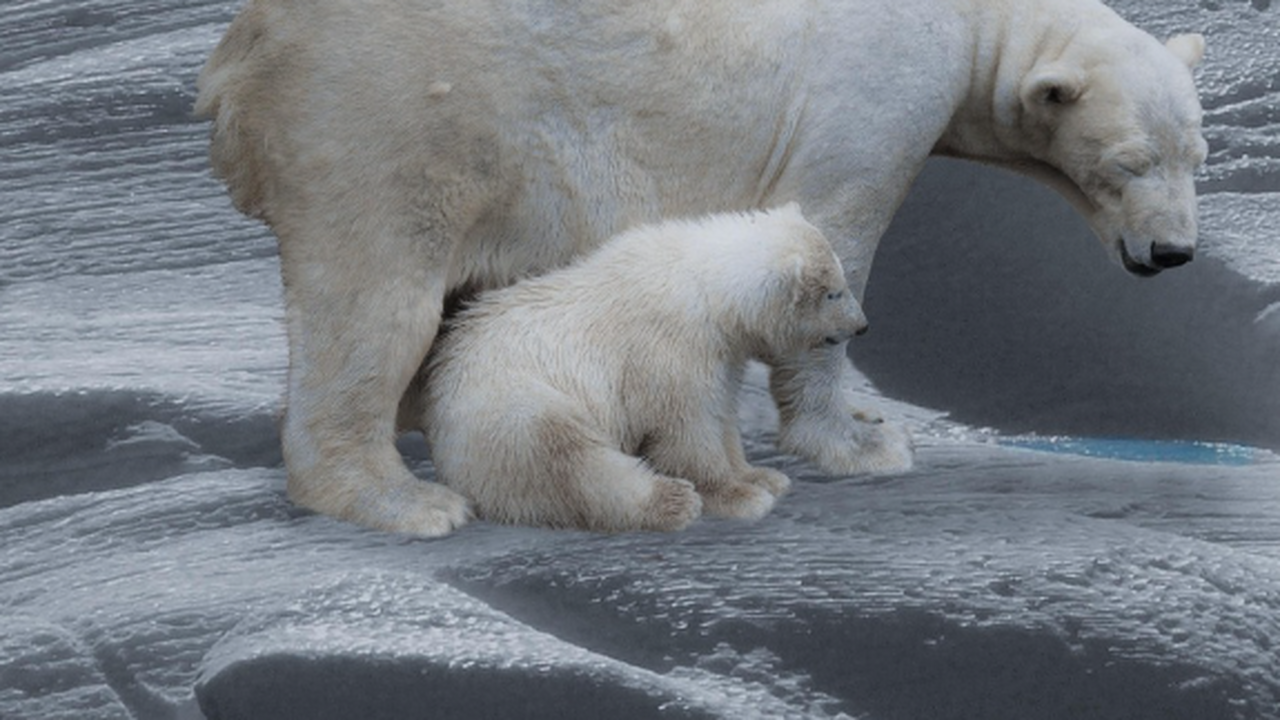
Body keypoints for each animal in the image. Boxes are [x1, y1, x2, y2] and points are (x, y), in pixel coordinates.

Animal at [419, 204, 870, 530]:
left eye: (841, 281)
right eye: (834, 292)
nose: (862, 326)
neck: (704, 289)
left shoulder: (721, 353)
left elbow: (722, 414)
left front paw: (761, 476)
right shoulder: (669, 351)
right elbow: (686, 430)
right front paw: (738, 496)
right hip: (514, 406)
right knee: (570, 460)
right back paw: (671, 500)